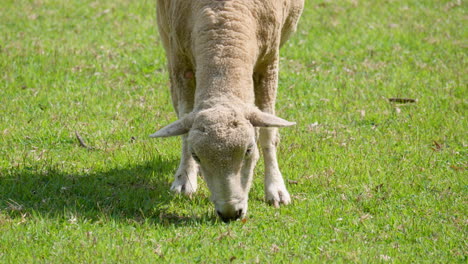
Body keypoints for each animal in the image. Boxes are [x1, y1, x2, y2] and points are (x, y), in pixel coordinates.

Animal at [152, 0, 306, 223]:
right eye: (196, 155)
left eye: (249, 150)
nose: (231, 213)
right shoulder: (180, 61)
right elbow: (185, 123)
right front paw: (184, 179)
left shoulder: (269, 60)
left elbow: (267, 133)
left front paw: (275, 189)